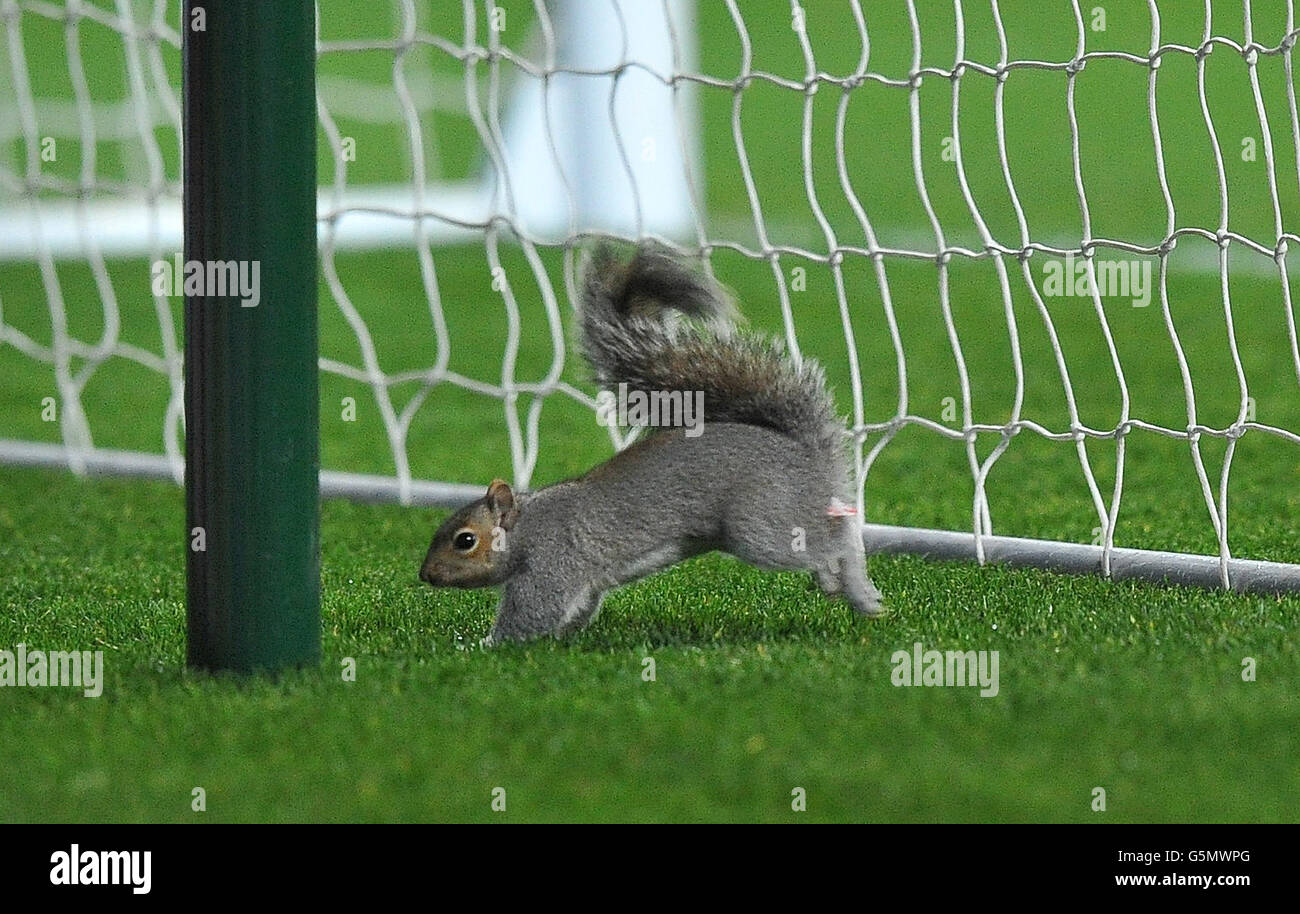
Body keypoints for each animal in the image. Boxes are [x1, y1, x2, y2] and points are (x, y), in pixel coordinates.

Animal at [416, 243, 883, 644]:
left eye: (465, 540)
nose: (425, 575)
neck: (528, 526)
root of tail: (808, 452)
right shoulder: (584, 584)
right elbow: (577, 612)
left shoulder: (553, 562)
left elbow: (531, 615)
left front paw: (477, 645)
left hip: (762, 523)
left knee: (835, 538)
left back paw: (856, 589)